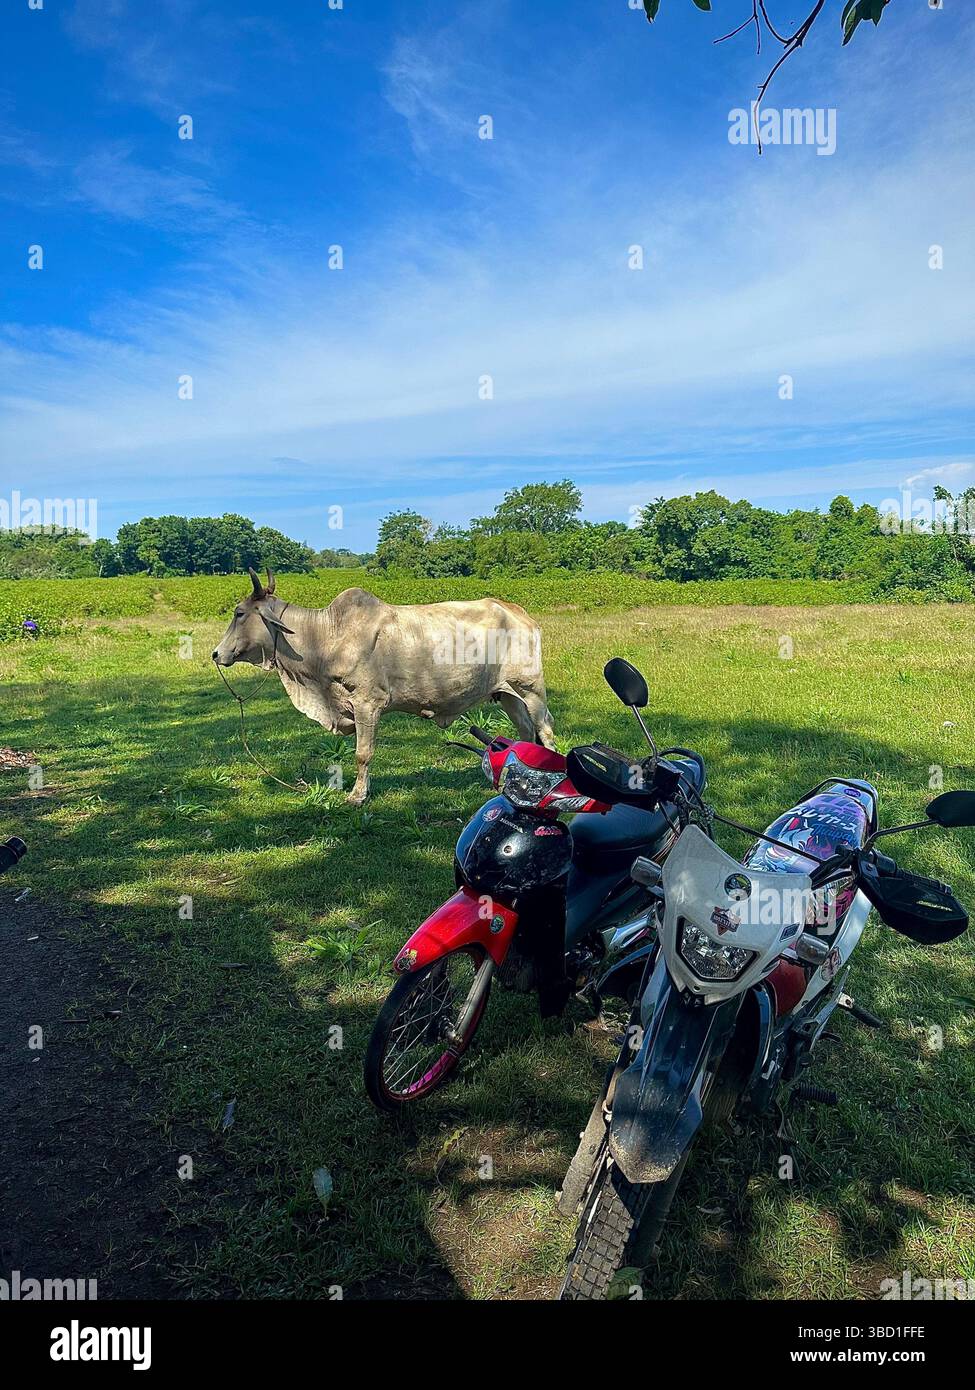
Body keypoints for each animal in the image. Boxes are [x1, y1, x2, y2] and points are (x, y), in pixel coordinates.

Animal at [212, 569, 557, 803]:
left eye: (239, 613)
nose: (216, 654)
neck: (325, 636)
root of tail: (517, 611)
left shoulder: (367, 703)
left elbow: (363, 753)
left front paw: (357, 796)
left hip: (530, 689)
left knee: (546, 730)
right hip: (507, 694)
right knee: (526, 732)